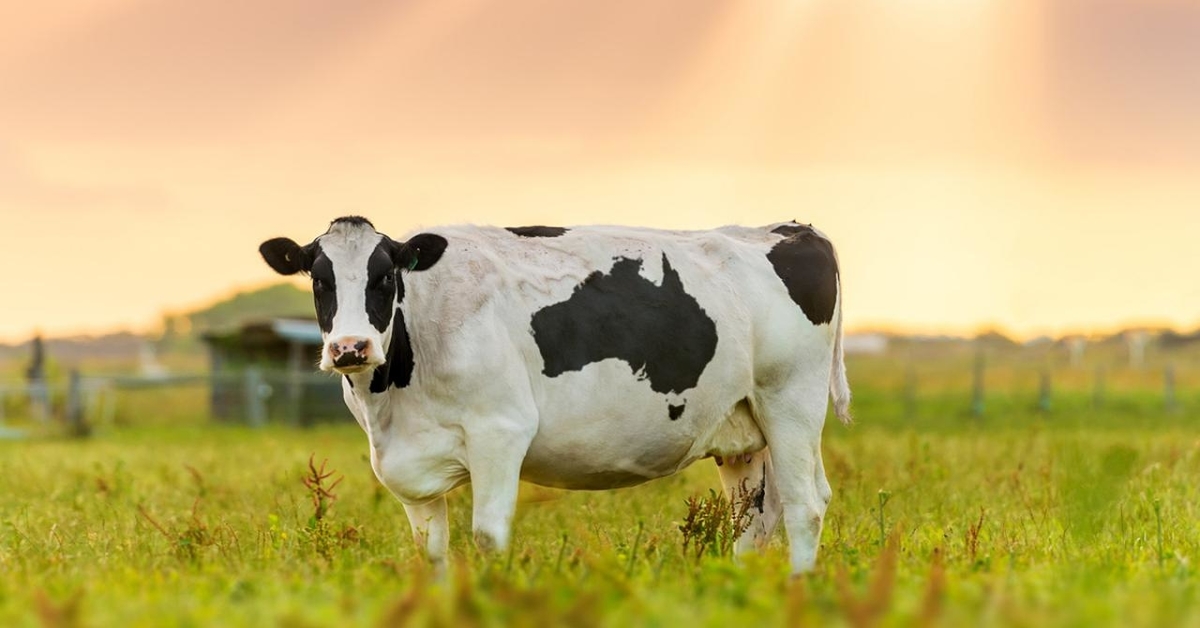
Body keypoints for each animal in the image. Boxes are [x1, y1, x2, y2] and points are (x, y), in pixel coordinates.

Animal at [259, 216, 850, 574]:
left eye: (385, 277)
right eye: (319, 280)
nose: (349, 348)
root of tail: (790, 228)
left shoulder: (500, 431)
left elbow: (488, 537)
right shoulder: (410, 468)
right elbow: (431, 554)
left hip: (790, 402)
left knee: (804, 504)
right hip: (742, 429)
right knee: (753, 516)